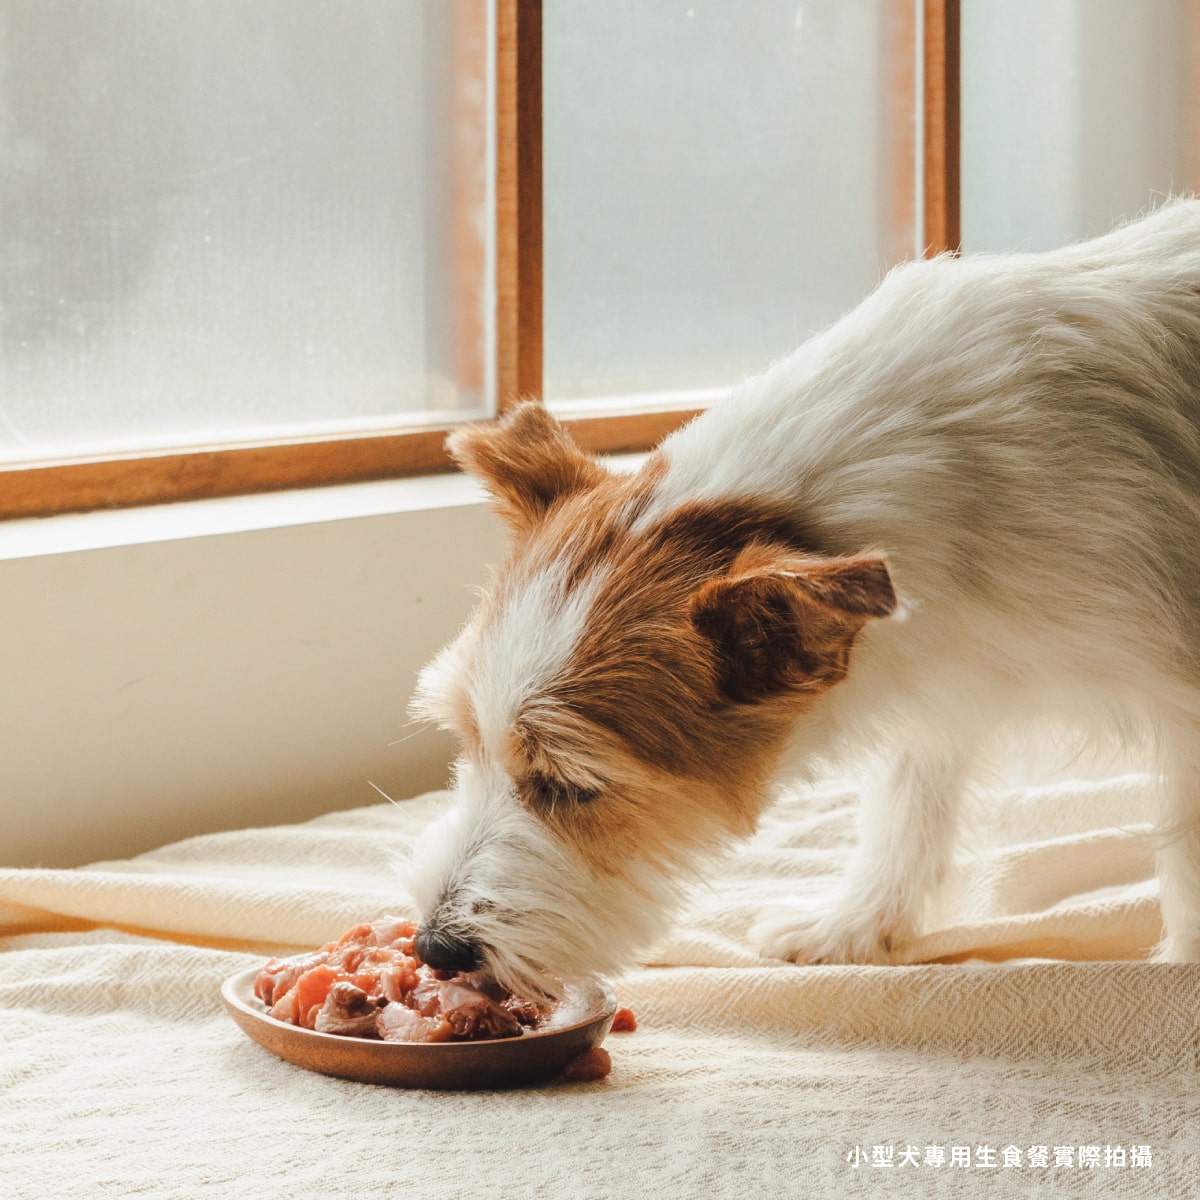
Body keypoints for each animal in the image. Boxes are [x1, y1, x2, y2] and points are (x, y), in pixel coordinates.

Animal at [403, 201, 1200, 998]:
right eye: (467, 740)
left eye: (569, 785)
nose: (435, 947)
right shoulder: (948, 677)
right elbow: (909, 799)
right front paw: (854, 926)